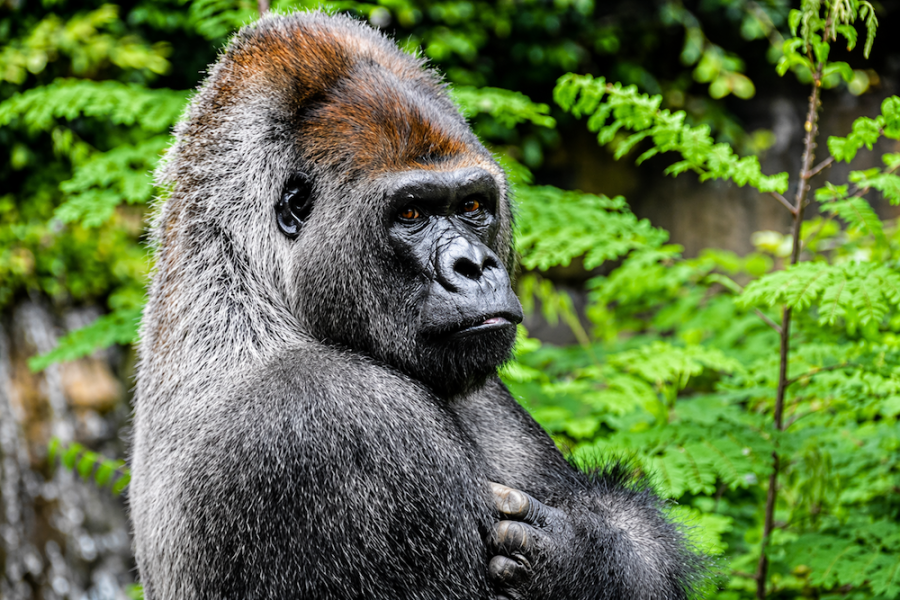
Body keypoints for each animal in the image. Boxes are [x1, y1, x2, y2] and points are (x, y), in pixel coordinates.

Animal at [129, 11, 703, 600]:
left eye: (473, 205)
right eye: (411, 214)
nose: (473, 265)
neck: (254, 286)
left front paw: (586, 552)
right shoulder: (337, 415)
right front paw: (573, 557)